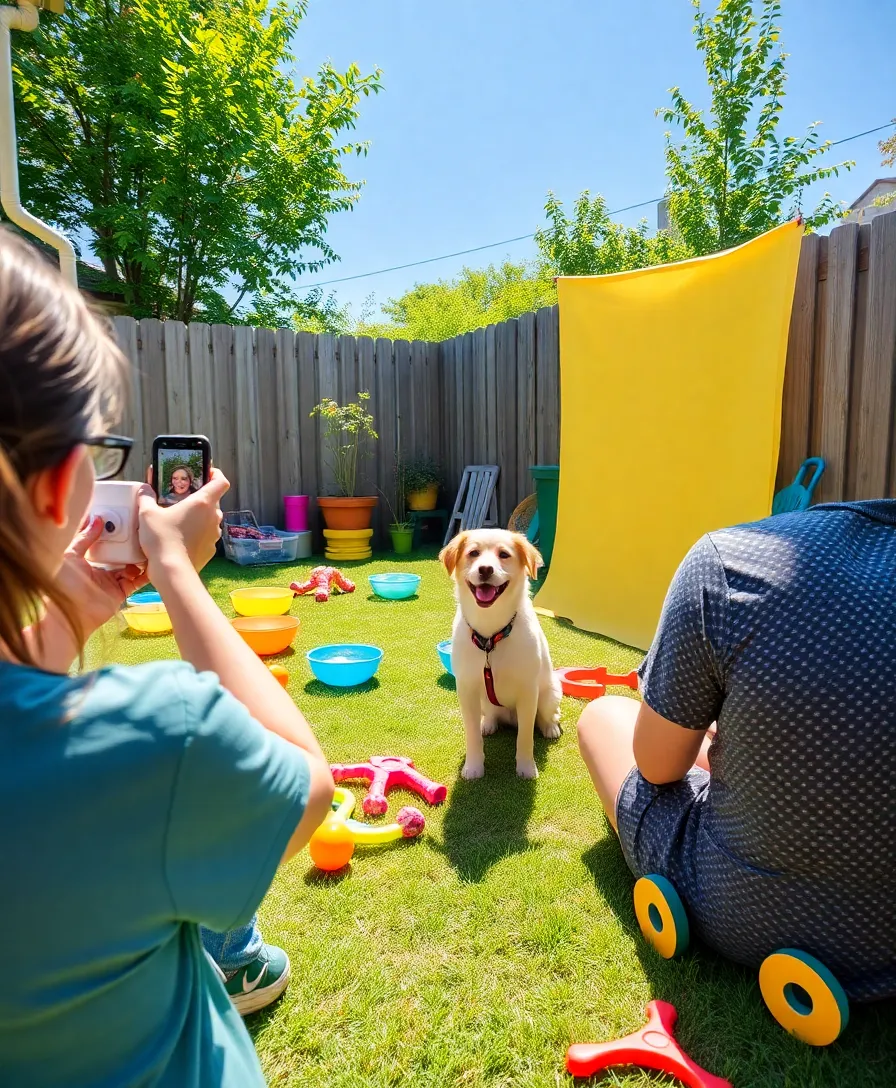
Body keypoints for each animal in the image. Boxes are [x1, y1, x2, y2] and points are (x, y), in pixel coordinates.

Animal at [441, 528, 561, 779]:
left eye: (504, 554)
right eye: (473, 553)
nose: (485, 569)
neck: (490, 634)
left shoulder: (528, 691)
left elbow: (525, 737)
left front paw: (526, 768)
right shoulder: (466, 689)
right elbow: (472, 735)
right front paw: (474, 766)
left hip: (550, 693)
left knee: (548, 714)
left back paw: (550, 727)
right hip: (485, 701)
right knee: (490, 716)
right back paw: (488, 723)